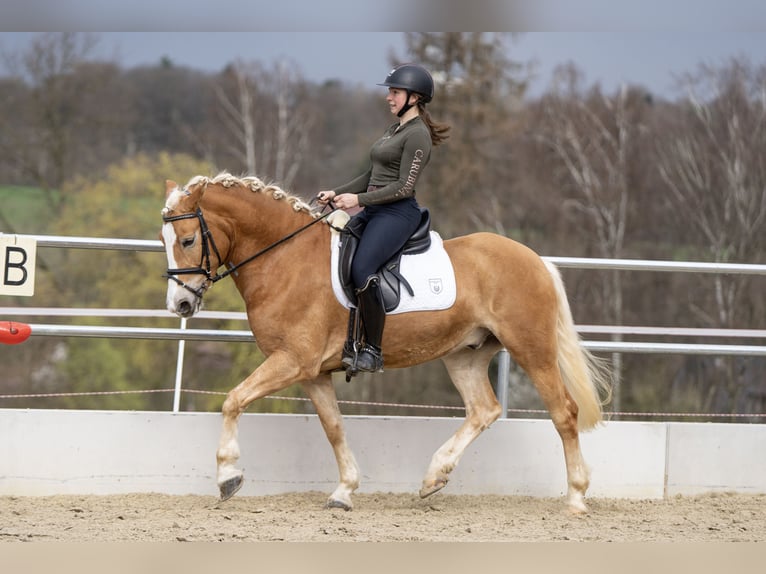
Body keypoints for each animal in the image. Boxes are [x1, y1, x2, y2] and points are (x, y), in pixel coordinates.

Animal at [159, 172, 611, 514]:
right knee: (484, 410)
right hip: (464, 355)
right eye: (165, 241)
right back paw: (434, 477)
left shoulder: (292, 360)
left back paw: (575, 498)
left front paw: (228, 476)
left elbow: (233, 400)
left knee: (564, 413)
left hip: (531, 349)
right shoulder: (312, 372)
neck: (286, 258)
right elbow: (334, 427)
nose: (180, 304)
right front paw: (344, 492)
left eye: (187, 240)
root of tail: (536, 260)